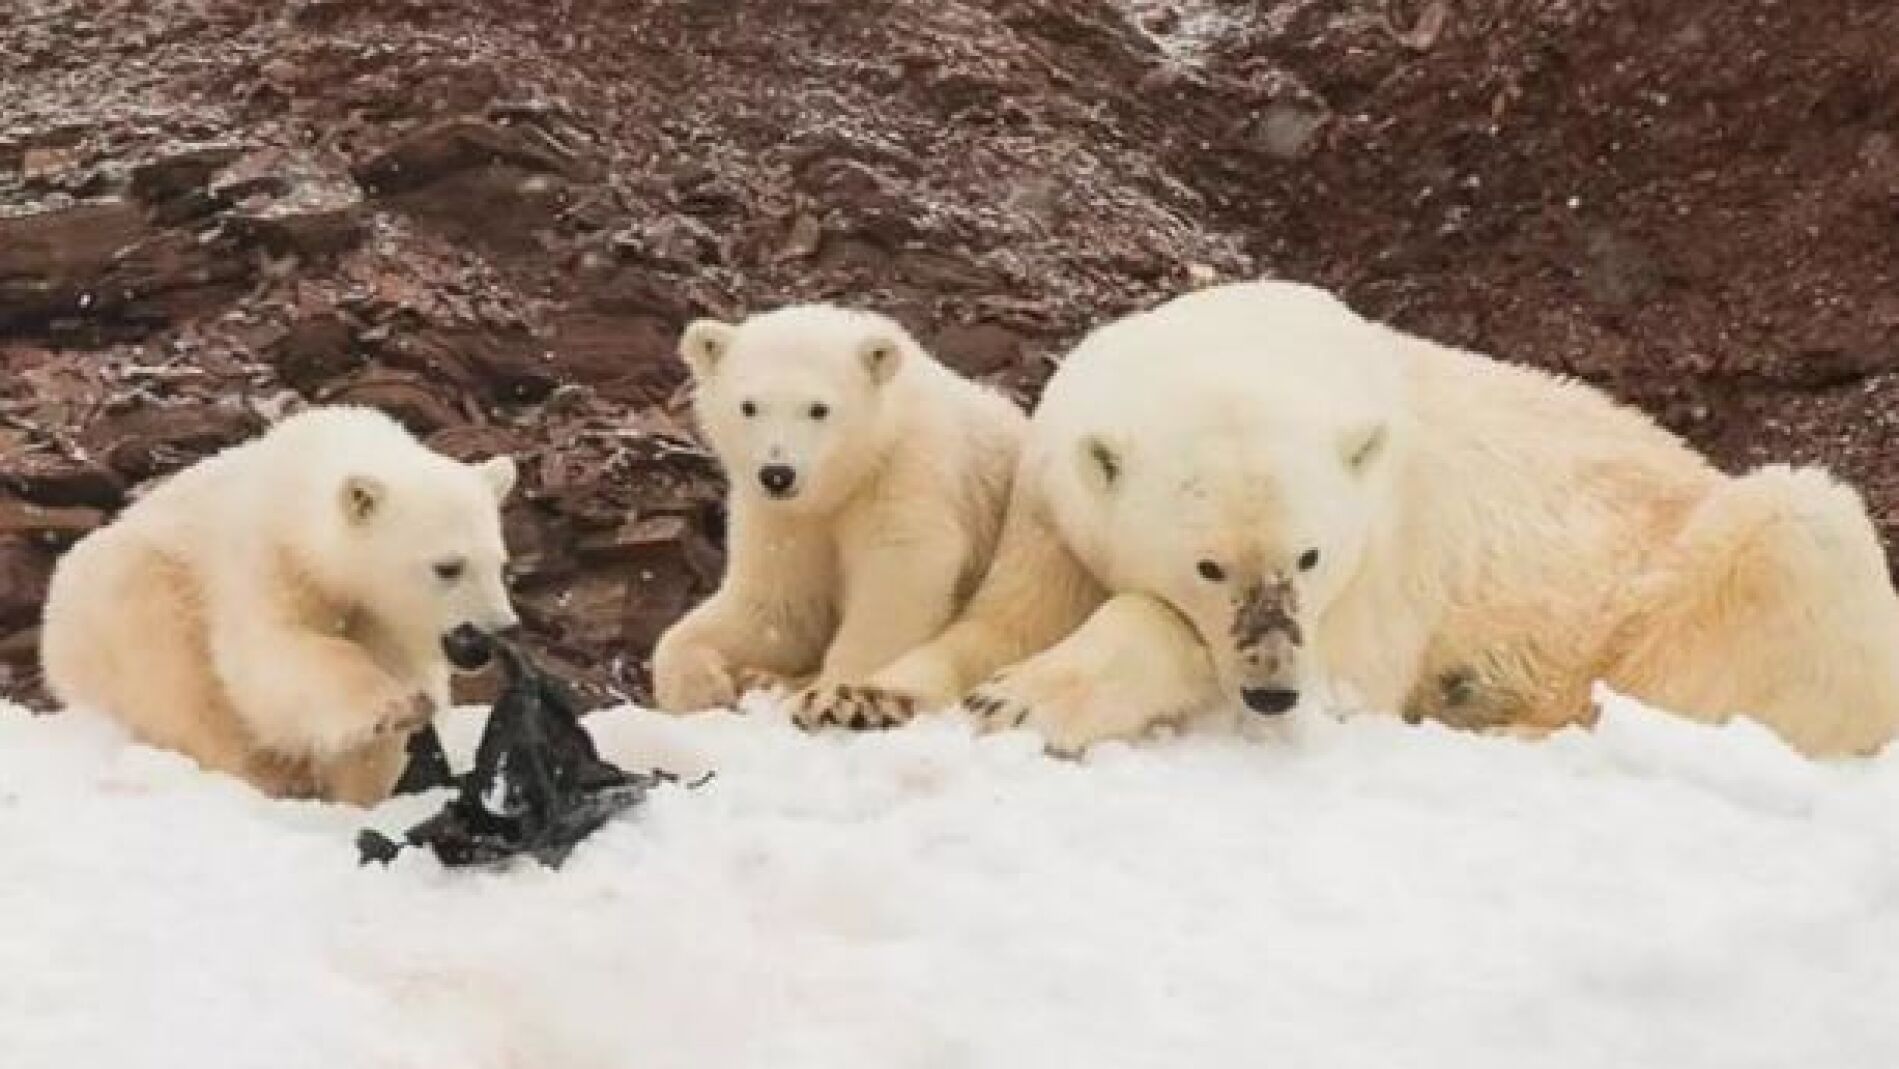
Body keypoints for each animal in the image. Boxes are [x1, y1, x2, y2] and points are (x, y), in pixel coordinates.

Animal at [39, 405, 521, 804]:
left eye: (500, 564)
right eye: (448, 566)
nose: (494, 634)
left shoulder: (381, 612)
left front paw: (366, 790)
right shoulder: (268, 555)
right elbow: (270, 654)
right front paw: (390, 706)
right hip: (132, 597)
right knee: (178, 687)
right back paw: (264, 775)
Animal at [649, 303, 1028, 726]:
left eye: (819, 409)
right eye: (748, 406)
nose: (777, 474)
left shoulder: (904, 471)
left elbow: (896, 576)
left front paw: (835, 695)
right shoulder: (781, 517)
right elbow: (779, 608)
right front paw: (701, 689)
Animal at [800, 280, 1899, 758]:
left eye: (1310, 554)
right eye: (1208, 564)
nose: (1272, 691)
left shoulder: (1390, 545)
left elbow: (1334, 668)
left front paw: (1027, 701)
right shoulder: (1055, 496)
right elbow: (1007, 613)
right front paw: (859, 695)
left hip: (1701, 567)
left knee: (1789, 540)